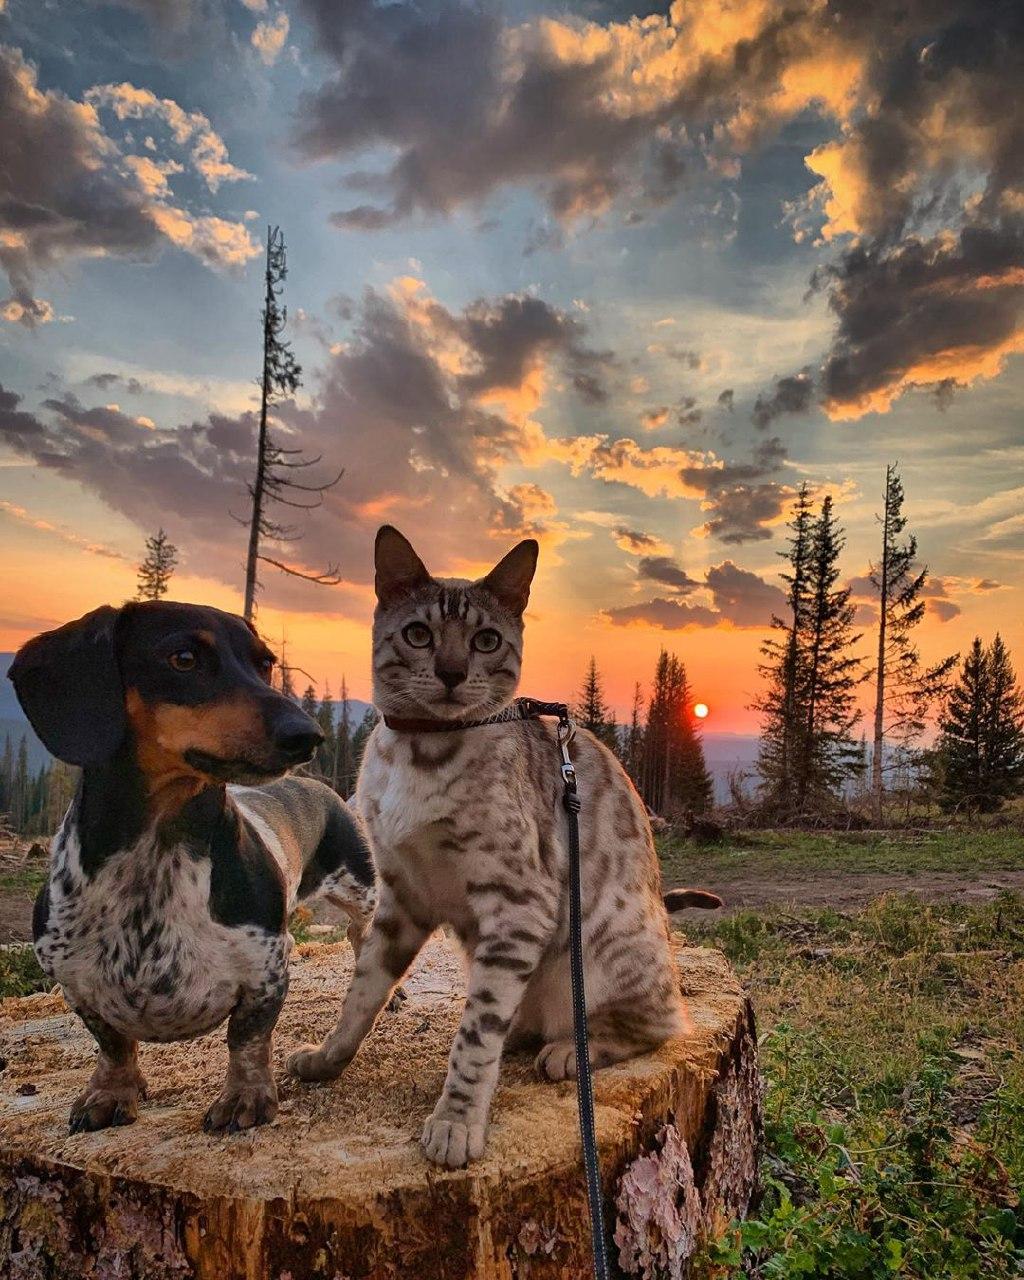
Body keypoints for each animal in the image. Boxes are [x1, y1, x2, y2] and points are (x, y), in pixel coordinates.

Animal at [8, 604, 376, 1136]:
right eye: (184, 658)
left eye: (264, 663)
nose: (307, 735)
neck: (156, 854)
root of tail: (323, 788)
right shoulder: (72, 979)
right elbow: (112, 1043)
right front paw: (109, 1093)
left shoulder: (267, 965)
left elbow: (247, 1038)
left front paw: (245, 1098)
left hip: (363, 889)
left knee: (364, 934)